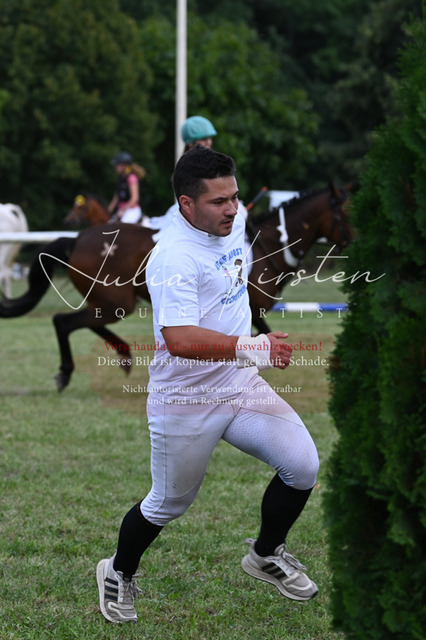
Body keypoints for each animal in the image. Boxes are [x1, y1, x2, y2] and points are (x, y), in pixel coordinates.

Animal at [0, 185, 352, 391]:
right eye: (345, 213)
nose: (353, 240)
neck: (270, 243)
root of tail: (77, 239)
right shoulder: (253, 311)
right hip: (115, 302)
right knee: (64, 321)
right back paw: (69, 371)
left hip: (109, 302)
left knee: (81, 322)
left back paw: (123, 355)